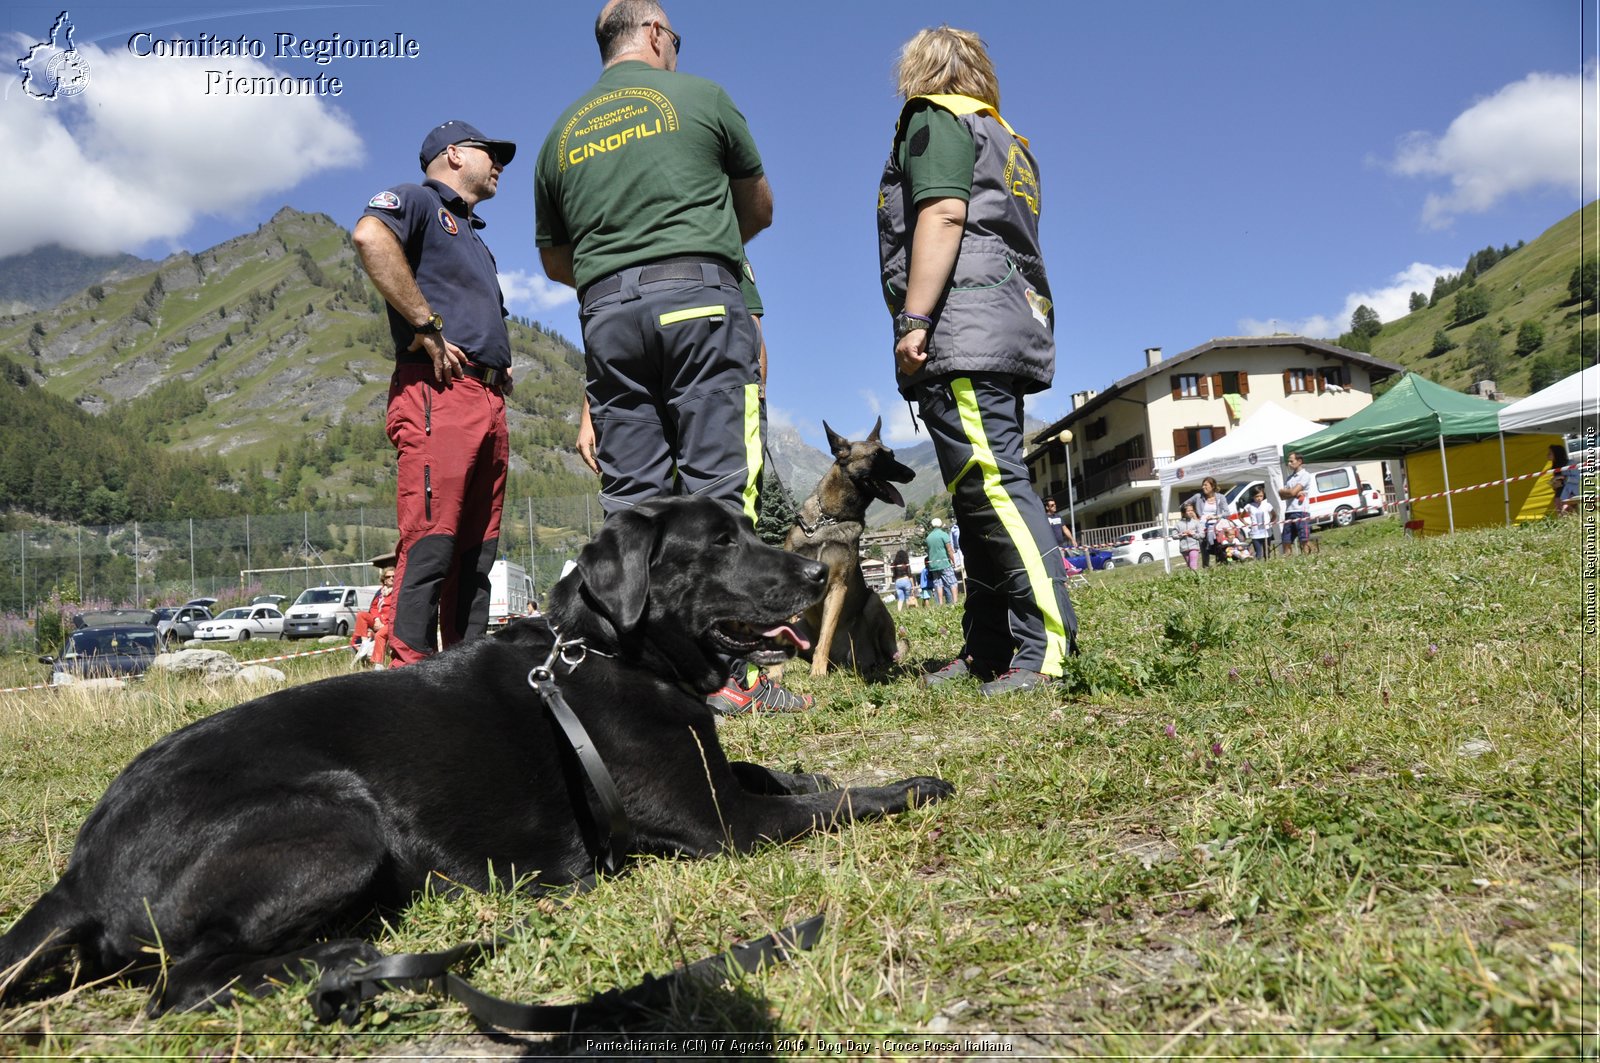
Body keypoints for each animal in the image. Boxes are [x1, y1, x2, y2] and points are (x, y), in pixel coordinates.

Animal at [0, 499, 947, 1011]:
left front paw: (811, 767)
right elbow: (832, 802)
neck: (614, 649)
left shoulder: (713, 779)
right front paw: (911, 783)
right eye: (717, 544)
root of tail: (79, 872)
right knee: (185, 983)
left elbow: (776, 772)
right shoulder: (720, 821)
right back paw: (342, 960)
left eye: (745, 530)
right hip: (340, 819)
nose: (822, 575)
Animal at [784, 419, 915, 675]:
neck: (829, 519)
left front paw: (817, 672)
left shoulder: (837, 586)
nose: (911, 473)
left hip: (874, 602)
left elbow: (826, 634)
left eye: (892, 454)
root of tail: (841, 663)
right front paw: (773, 674)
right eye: (876, 455)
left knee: (885, 652)